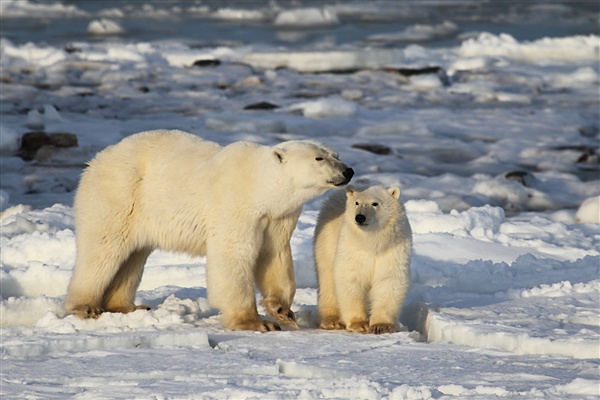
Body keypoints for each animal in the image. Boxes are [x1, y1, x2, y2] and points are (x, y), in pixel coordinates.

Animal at [65, 130, 354, 332]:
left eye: (337, 155)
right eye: (319, 157)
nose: (348, 170)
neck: (260, 186)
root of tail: (97, 159)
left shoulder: (278, 217)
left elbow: (274, 256)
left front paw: (282, 310)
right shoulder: (235, 205)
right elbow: (233, 256)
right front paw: (256, 322)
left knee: (133, 256)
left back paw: (127, 306)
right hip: (120, 194)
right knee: (103, 248)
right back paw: (86, 306)